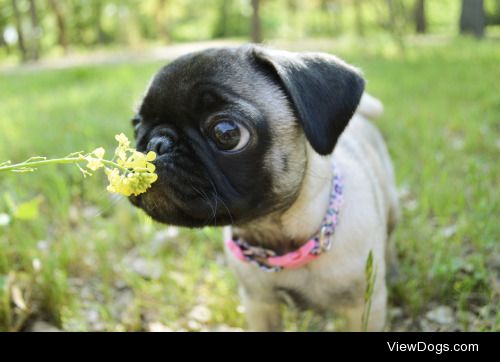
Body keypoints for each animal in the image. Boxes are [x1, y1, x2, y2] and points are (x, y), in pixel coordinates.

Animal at [129, 44, 398, 330]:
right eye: (136, 125)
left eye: (227, 133)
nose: (157, 143)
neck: (276, 238)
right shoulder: (259, 304)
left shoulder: (364, 309)